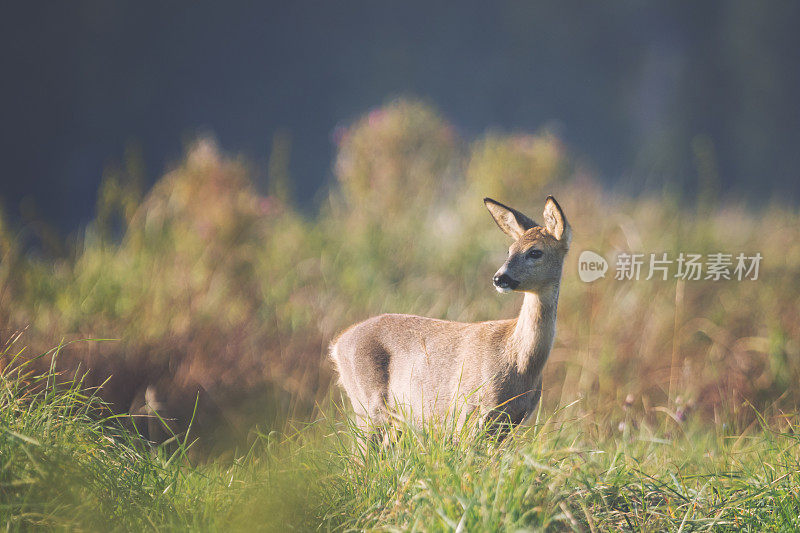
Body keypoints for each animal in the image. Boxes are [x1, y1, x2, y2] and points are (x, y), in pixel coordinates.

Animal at [328, 195, 572, 436]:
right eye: (510, 250)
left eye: (535, 252)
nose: (499, 278)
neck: (518, 360)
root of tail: (338, 344)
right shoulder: (467, 410)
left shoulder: (511, 423)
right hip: (368, 406)